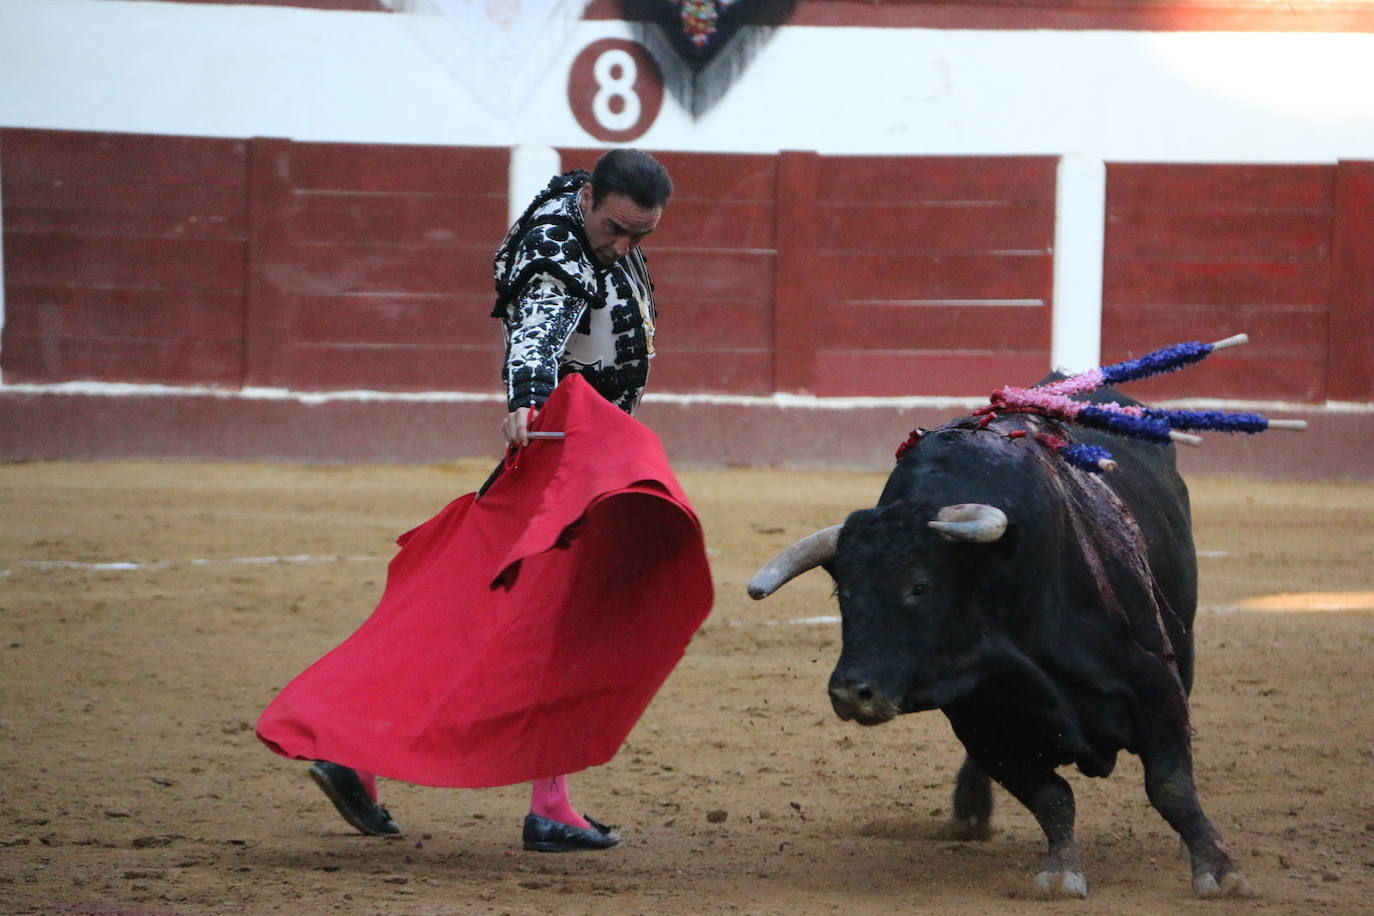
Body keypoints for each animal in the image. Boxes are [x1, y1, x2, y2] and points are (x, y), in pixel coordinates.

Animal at [752, 390, 1258, 900]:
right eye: (845, 592)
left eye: (920, 586)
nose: (851, 693)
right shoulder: (982, 723)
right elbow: (1051, 797)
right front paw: (1060, 873)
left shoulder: (1154, 683)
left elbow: (1171, 786)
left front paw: (1219, 871)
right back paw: (970, 814)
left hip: (1183, 649)